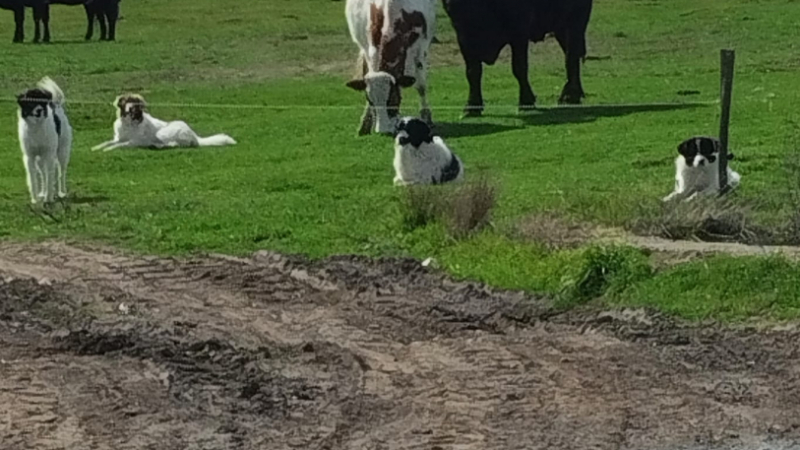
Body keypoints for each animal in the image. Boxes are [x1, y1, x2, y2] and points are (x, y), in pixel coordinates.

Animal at [17, 76, 72, 205]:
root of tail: (56, 104)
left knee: (61, 172)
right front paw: (35, 199)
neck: (37, 126)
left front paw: (48, 198)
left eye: (41, 102)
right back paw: (42, 192)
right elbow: (33, 178)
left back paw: (62, 192)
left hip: (62, 152)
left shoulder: (49, 154)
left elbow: (50, 176)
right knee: (43, 174)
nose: (39, 110)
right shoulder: (30, 157)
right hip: (40, 160)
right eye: (30, 102)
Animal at [92, 94, 234, 152]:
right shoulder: (118, 138)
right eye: (127, 101)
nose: (133, 109)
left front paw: (108, 149)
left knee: (176, 144)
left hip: (163, 132)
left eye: (137, 104)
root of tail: (195, 135)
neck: (129, 123)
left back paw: (158, 145)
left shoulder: (135, 141)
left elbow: (119, 145)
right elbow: (108, 142)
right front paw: (96, 147)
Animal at [342, 0, 434, 135]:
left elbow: (421, 86)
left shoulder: (421, 49)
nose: (383, 131)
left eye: (393, 99)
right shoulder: (368, 50)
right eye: (371, 101)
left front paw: (427, 118)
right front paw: (366, 122)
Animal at [444, 0, 592, 116]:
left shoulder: (519, 31)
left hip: (575, 20)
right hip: (560, 26)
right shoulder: (464, 38)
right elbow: (473, 72)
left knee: (571, 57)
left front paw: (526, 100)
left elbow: (519, 68)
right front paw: (472, 106)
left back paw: (570, 96)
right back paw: (576, 93)